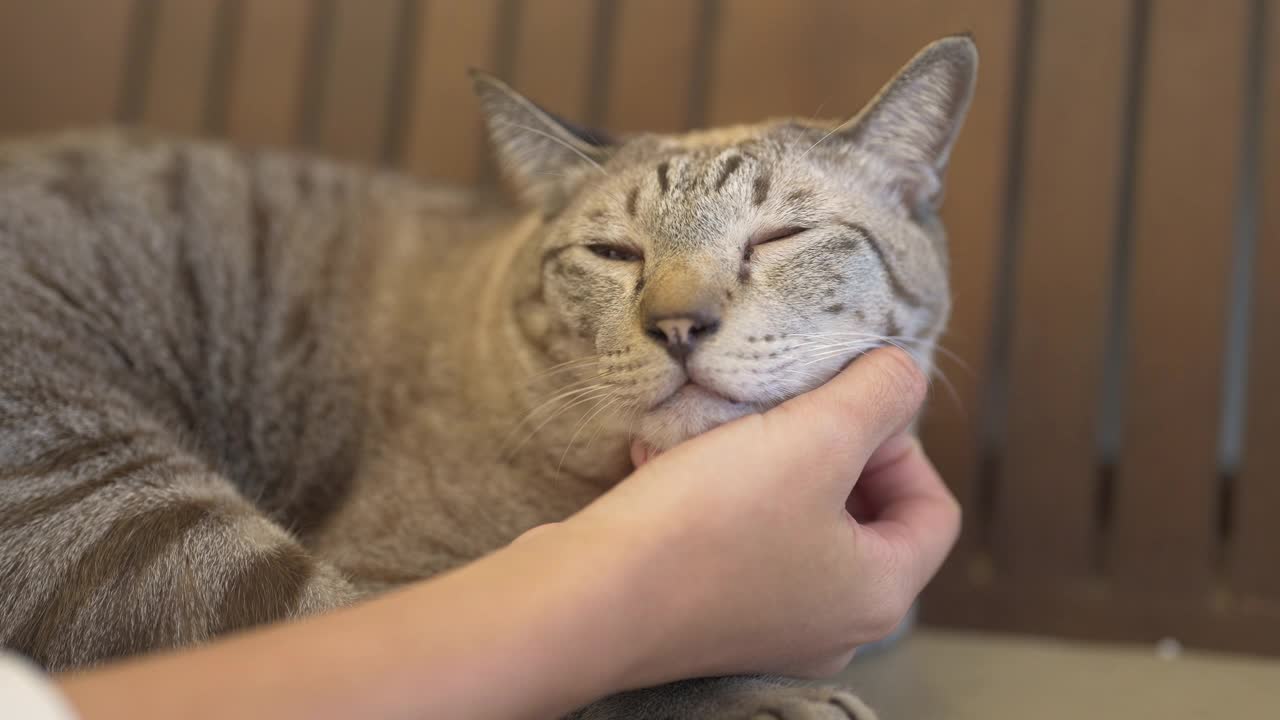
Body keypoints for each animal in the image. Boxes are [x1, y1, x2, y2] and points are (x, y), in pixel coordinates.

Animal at [0, 35, 972, 717]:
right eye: (616, 254)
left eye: (779, 239)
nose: (678, 326)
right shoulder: (399, 576)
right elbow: (612, 666)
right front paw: (761, 695)